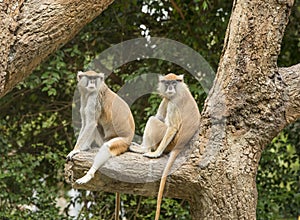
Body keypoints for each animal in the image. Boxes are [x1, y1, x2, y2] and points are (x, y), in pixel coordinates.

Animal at [130, 73, 200, 219]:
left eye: (174, 83)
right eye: (167, 83)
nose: (170, 88)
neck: (179, 90)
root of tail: (179, 146)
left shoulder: (174, 102)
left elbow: (172, 127)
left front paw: (156, 153)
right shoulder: (168, 98)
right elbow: (160, 115)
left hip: (169, 141)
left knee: (153, 120)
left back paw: (145, 149)